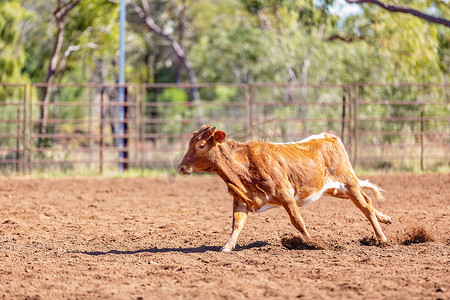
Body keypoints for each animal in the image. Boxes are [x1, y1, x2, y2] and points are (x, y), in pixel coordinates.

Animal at [178, 125, 392, 252]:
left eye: (201, 145)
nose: (181, 167)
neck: (245, 164)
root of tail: (328, 136)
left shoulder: (286, 194)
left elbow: (297, 221)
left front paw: (311, 242)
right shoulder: (241, 200)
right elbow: (236, 224)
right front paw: (227, 247)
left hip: (348, 182)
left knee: (365, 206)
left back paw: (382, 238)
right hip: (335, 189)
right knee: (368, 200)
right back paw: (385, 219)